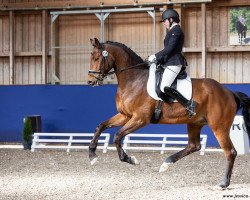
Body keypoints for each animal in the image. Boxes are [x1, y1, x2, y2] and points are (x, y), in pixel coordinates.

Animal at [86, 37, 250, 189]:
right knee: (194, 145)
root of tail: (229, 92)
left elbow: (118, 136)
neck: (133, 80)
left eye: (97, 58)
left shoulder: (140, 119)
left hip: (219, 127)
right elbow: (101, 126)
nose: (90, 82)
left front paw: (130, 159)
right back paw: (166, 163)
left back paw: (223, 183)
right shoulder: (125, 116)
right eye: (91, 56)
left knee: (230, 152)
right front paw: (92, 155)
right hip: (194, 123)